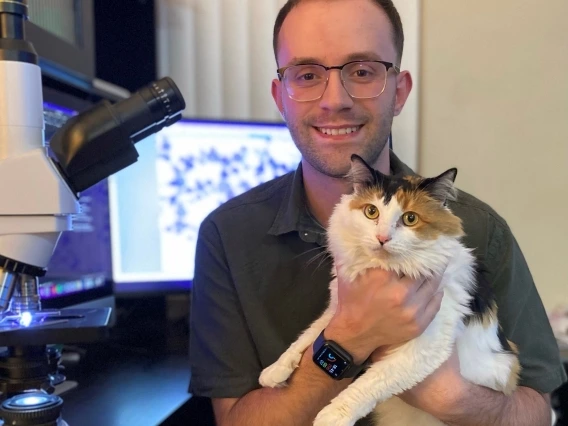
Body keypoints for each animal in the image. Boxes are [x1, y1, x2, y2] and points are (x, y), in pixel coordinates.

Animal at [260, 154, 520, 426]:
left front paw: (333, 416)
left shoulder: (426, 346)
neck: (385, 270)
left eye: (410, 218)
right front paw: (275, 370)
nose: (382, 238)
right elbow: (309, 335)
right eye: (371, 211)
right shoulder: (338, 309)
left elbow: (371, 382)